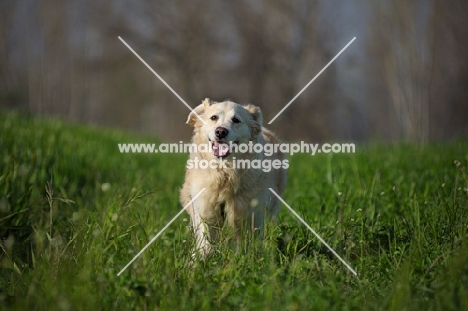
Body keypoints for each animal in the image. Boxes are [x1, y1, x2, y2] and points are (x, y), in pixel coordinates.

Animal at [180, 98, 288, 258]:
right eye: (213, 118)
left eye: (236, 120)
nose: (220, 131)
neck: (225, 173)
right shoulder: (205, 209)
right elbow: (206, 243)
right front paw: (200, 260)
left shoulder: (250, 214)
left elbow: (246, 244)